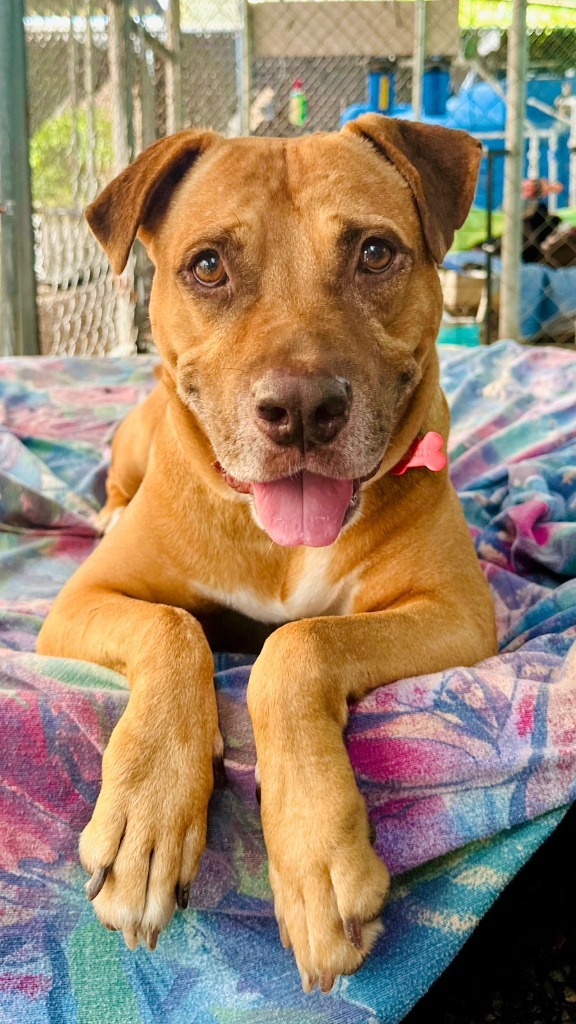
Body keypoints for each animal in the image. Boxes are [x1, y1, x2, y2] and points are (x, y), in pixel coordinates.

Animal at [36, 117, 494, 991]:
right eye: (208, 265)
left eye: (374, 253)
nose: (305, 409)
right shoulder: (80, 603)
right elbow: (172, 626)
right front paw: (146, 813)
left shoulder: (460, 615)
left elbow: (298, 644)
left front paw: (316, 856)